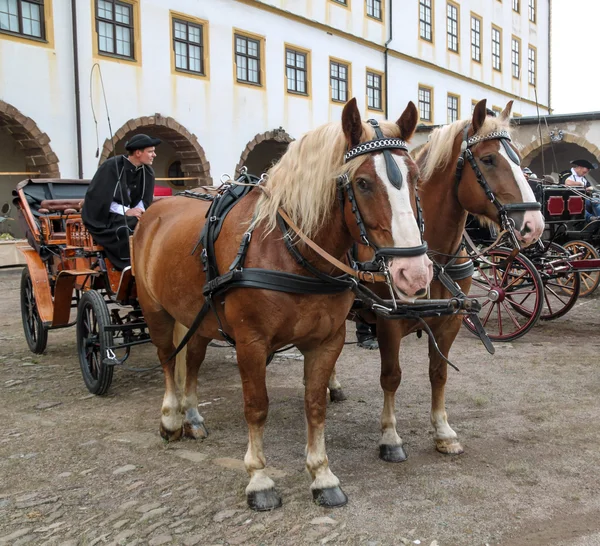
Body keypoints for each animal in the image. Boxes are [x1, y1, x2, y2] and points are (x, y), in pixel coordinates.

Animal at [132, 96, 432, 506]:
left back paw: (192, 415)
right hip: (155, 310)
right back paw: (171, 417)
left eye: (415, 177)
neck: (291, 252)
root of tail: (157, 209)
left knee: (190, 359)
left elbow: (315, 404)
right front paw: (259, 478)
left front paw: (322, 475)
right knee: (166, 358)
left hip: (199, 316)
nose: (414, 274)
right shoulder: (251, 343)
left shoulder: (327, 341)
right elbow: (257, 407)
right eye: (363, 183)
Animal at [352, 99, 544, 460]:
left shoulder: (451, 318)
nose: (535, 225)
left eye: (517, 157)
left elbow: (438, 372)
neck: (433, 256)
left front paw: (443, 431)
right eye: (488, 159)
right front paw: (390, 436)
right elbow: (391, 376)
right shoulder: (389, 321)